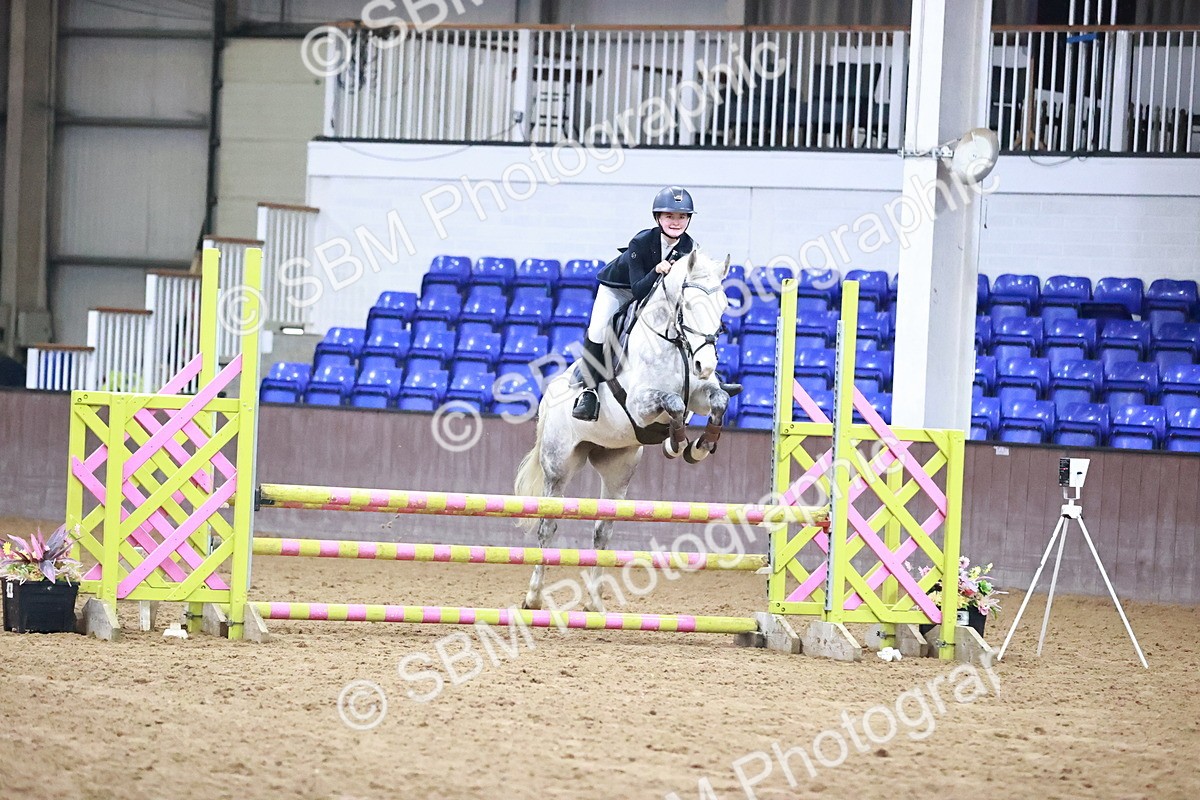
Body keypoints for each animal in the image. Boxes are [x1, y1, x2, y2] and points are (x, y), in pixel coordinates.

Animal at [514, 250, 734, 612]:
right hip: (558, 467)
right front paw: (676, 443)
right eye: (688, 305)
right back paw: (533, 597)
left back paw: (594, 604)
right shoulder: (640, 404)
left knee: (602, 531)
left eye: (724, 305)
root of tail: (549, 394)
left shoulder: (700, 394)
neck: (672, 344)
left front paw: (699, 446)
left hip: (618, 468)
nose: (706, 365)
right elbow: (673, 403)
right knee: (548, 526)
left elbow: (719, 400)